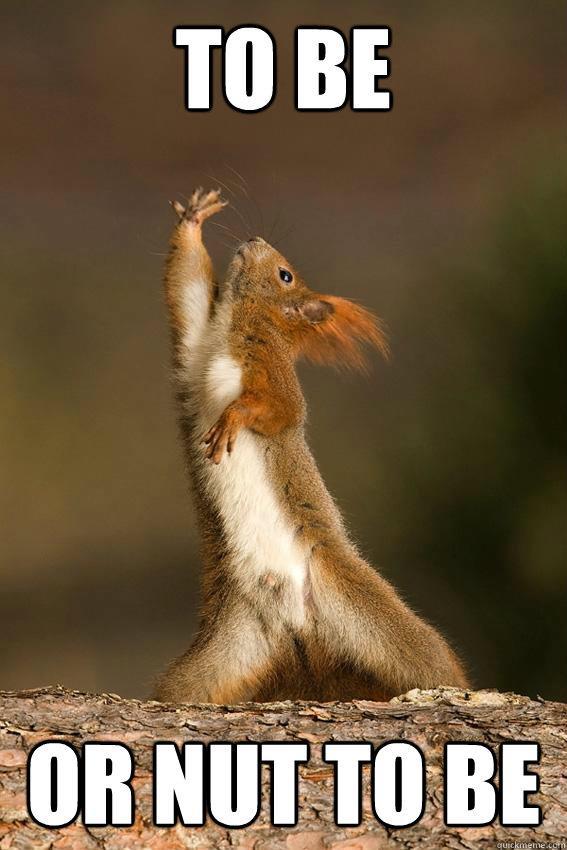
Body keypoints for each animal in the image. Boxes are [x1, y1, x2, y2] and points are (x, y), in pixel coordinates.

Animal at [153, 189, 468, 700]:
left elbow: (277, 409)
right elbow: (186, 290)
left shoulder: (273, 373)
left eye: (285, 275)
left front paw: (233, 419)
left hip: (378, 621)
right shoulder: (195, 341)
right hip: (219, 656)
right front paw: (194, 220)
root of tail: (296, 622)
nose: (254, 239)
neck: (233, 328)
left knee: (431, 665)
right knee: (183, 693)